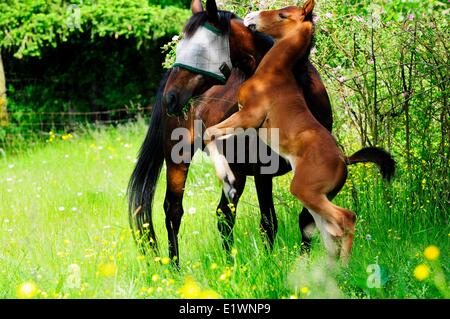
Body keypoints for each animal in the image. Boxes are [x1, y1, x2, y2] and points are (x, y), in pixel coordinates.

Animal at [127, 0, 334, 266]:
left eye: (201, 50)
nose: (170, 98)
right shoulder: (262, 172)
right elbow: (268, 221)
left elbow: (305, 219)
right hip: (180, 158)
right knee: (175, 211)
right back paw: (176, 267)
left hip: (236, 172)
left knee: (223, 214)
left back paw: (228, 264)